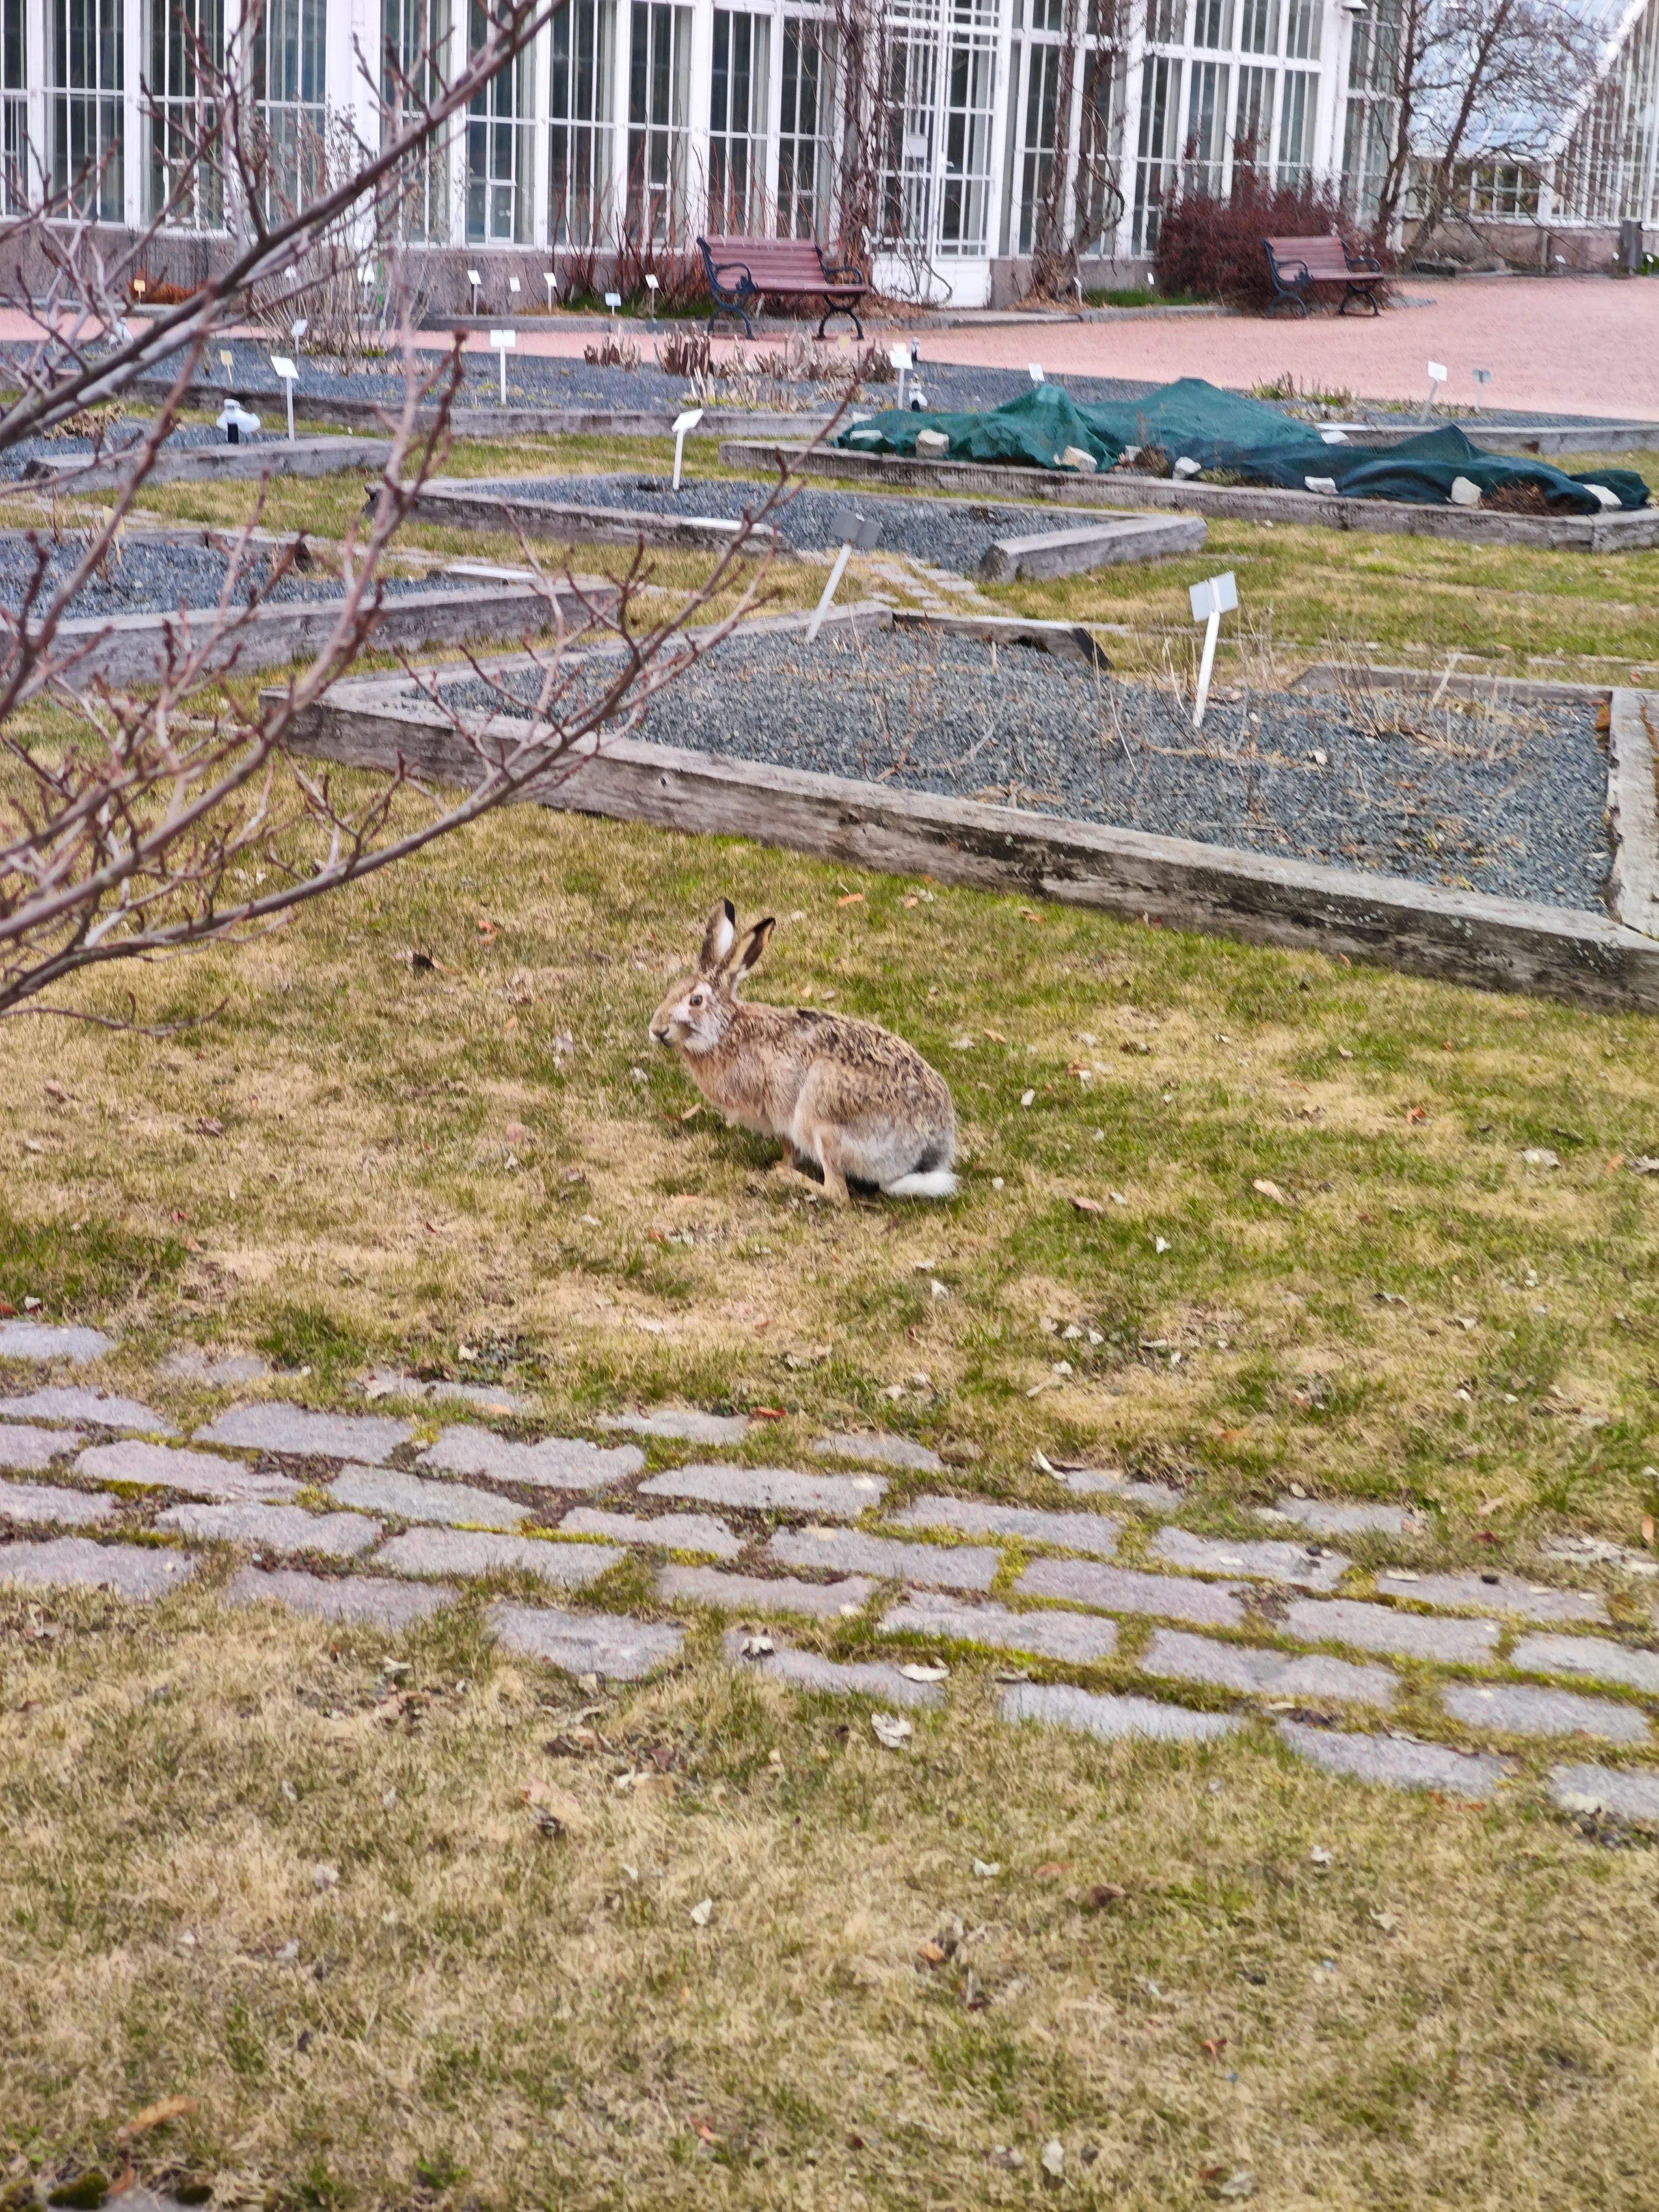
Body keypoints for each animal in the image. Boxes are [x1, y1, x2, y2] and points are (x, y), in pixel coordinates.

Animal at [649, 900, 957, 1203]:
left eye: (696, 1001)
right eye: (669, 992)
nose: (657, 1030)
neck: (727, 1031)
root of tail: (925, 1151)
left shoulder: (779, 1109)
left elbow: (790, 1147)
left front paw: (782, 1167)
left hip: (823, 1116)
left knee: (838, 1193)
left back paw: (788, 1178)